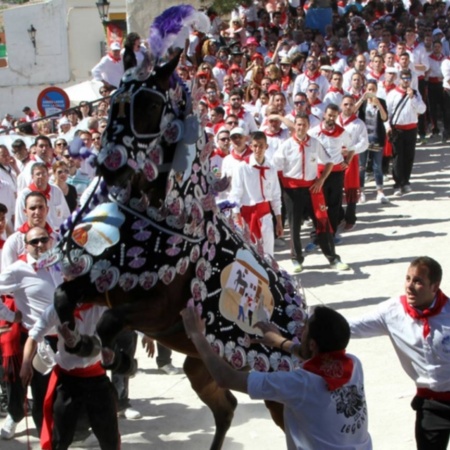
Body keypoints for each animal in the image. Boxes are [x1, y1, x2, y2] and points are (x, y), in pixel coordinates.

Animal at [47, 5, 308, 448]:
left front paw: (112, 354)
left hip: (272, 382)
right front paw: (79, 343)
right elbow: (63, 297)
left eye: (152, 106)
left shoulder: (154, 310)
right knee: (226, 408)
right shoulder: (105, 283)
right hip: (201, 366)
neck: (167, 220)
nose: (109, 167)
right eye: (114, 102)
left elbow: (110, 322)